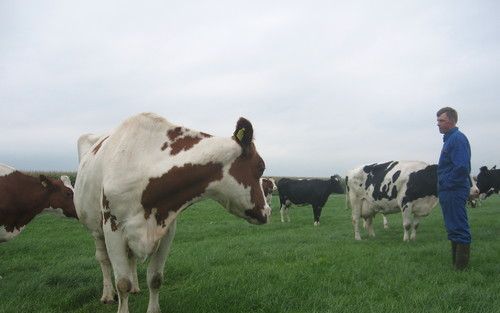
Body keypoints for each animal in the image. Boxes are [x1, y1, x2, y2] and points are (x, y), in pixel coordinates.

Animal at [73, 112, 270, 312]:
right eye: (261, 166)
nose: (267, 210)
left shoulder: (167, 230)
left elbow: (155, 278)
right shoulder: (113, 228)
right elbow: (122, 283)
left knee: (131, 259)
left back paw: (135, 287)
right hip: (96, 229)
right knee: (103, 259)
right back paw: (107, 294)